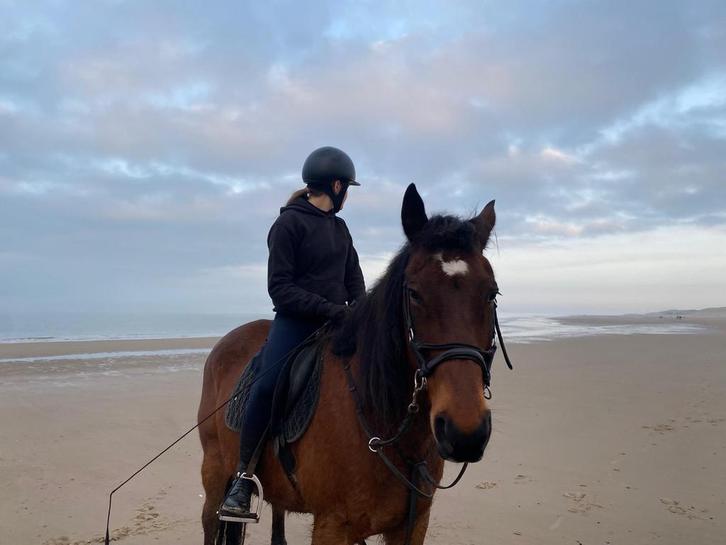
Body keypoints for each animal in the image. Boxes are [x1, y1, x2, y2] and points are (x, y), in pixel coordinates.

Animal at [197, 183, 506, 545]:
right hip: (215, 470)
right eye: (414, 293)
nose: (465, 431)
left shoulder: (413, 524)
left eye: (491, 293)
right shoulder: (332, 525)